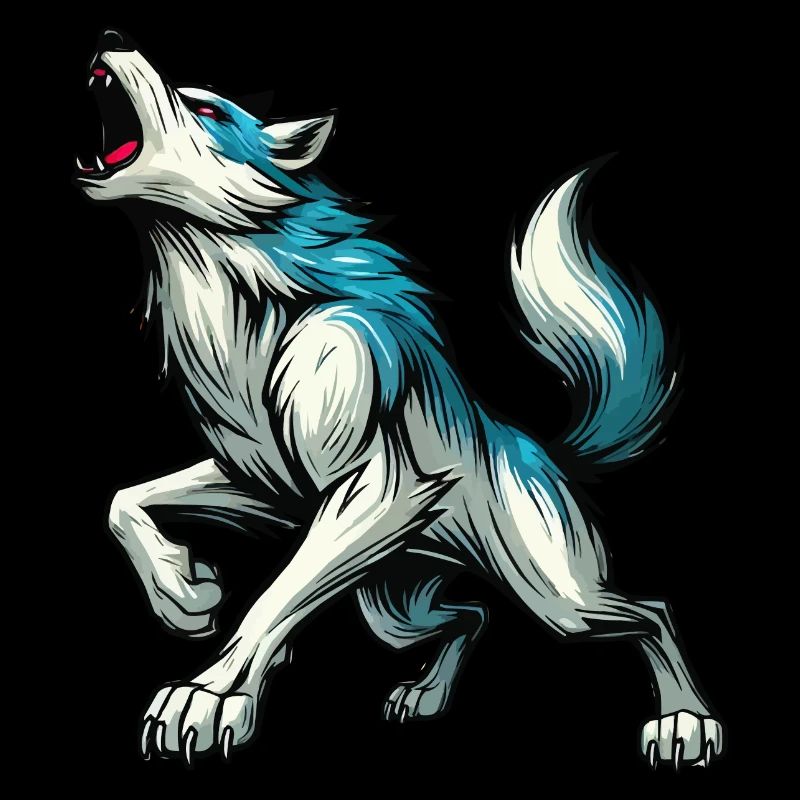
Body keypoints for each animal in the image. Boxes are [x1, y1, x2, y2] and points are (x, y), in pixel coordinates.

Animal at [76, 29, 723, 769]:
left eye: (208, 109)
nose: (110, 38)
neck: (249, 311)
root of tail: (547, 454)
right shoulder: (266, 485)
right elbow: (124, 501)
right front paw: (183, 593)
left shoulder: (382, 483)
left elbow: (270, 600)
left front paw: (209, 696)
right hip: (393, 611)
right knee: (472, 615)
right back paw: (427, 696)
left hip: (558, 600)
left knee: (652, 613)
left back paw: (684, 721)